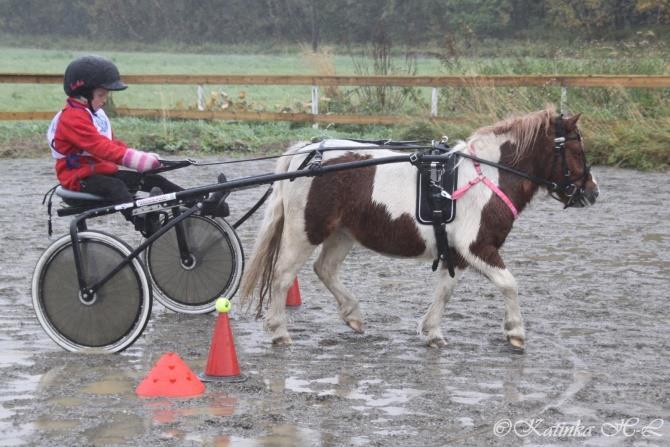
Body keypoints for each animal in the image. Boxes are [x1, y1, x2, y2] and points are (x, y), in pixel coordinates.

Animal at [240, 108, 600, 350]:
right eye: (576, 148)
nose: (592, 191)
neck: (487, 177)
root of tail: (306, 153)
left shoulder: (457, 254)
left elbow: (445, 290)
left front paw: (432, 332)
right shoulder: (477, 248)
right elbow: (509, 283)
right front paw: (515, 332)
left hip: (342, 234)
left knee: (324, 269)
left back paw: (353, 314)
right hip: (305, 232)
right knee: (283, 276)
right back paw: (279, 331)